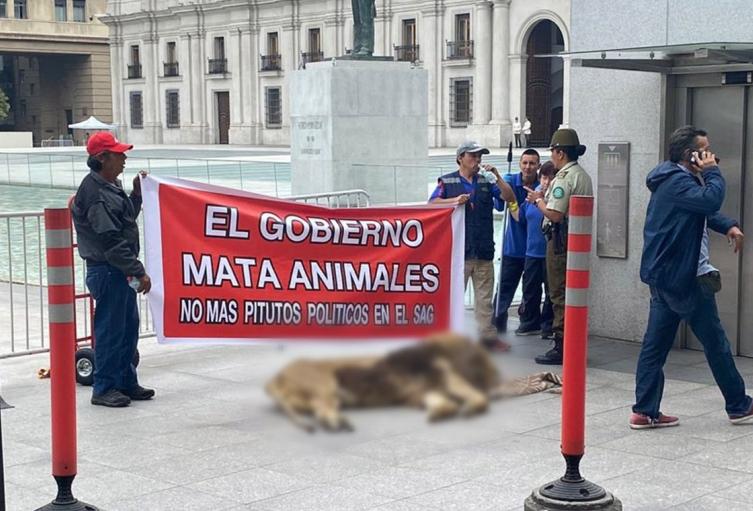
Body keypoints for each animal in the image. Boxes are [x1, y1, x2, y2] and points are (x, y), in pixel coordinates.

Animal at [264, 332, 560, 432]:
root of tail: (277, 378)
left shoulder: (424, 393)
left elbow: (446, 404)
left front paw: (443, 413)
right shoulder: (445, 376)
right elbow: (474, 398)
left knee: (318, 410)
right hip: (324, 384)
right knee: (324, 410)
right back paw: (338, 423)